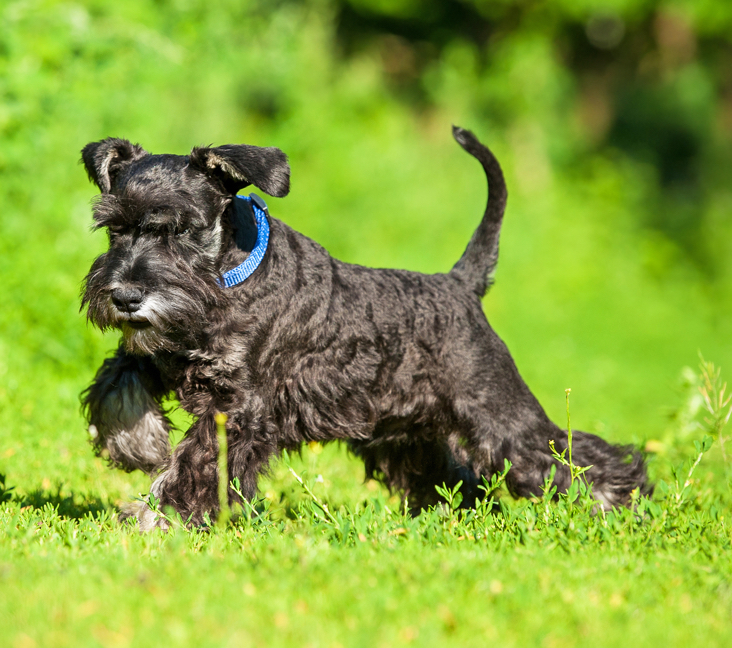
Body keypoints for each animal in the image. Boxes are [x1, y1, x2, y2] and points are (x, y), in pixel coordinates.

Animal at [80, 125, 648, 528]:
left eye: (181, 231)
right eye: (113, 228)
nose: (125, 296)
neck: (230, 278)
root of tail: (461, 284)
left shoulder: (238, 408)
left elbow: (197, 465)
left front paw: (156, 518)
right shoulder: (161, 355)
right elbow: (117, 382)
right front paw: (138, 445)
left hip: (498, 413)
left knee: (569, 456)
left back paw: (621, 505)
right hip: (408, 432)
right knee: (458, 476)